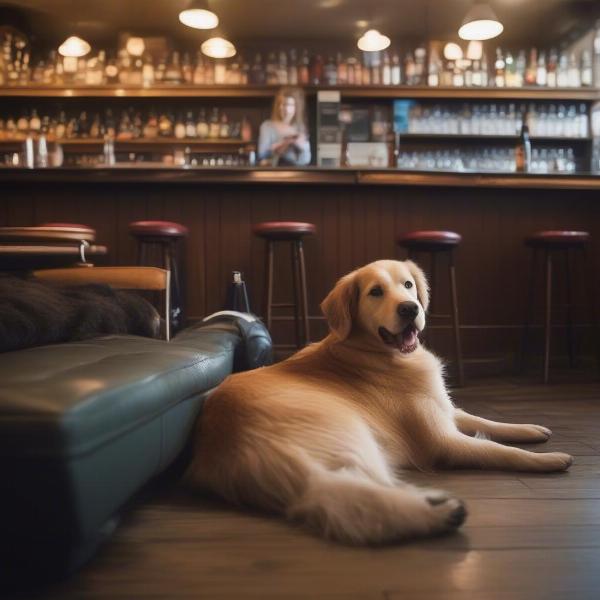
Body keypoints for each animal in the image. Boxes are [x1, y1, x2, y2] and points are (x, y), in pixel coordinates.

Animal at [186, 258, 572, 544]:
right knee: (356, 494)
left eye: (408, 285)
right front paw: (548, 459)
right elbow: (499, 450)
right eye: (375, 292)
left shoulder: (443, 408)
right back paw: (436, 513)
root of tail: (237, 445)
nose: (410, 308)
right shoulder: (442, 440)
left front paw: (531, 428)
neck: (374, 351)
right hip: (354, 436)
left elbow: (485, 421)